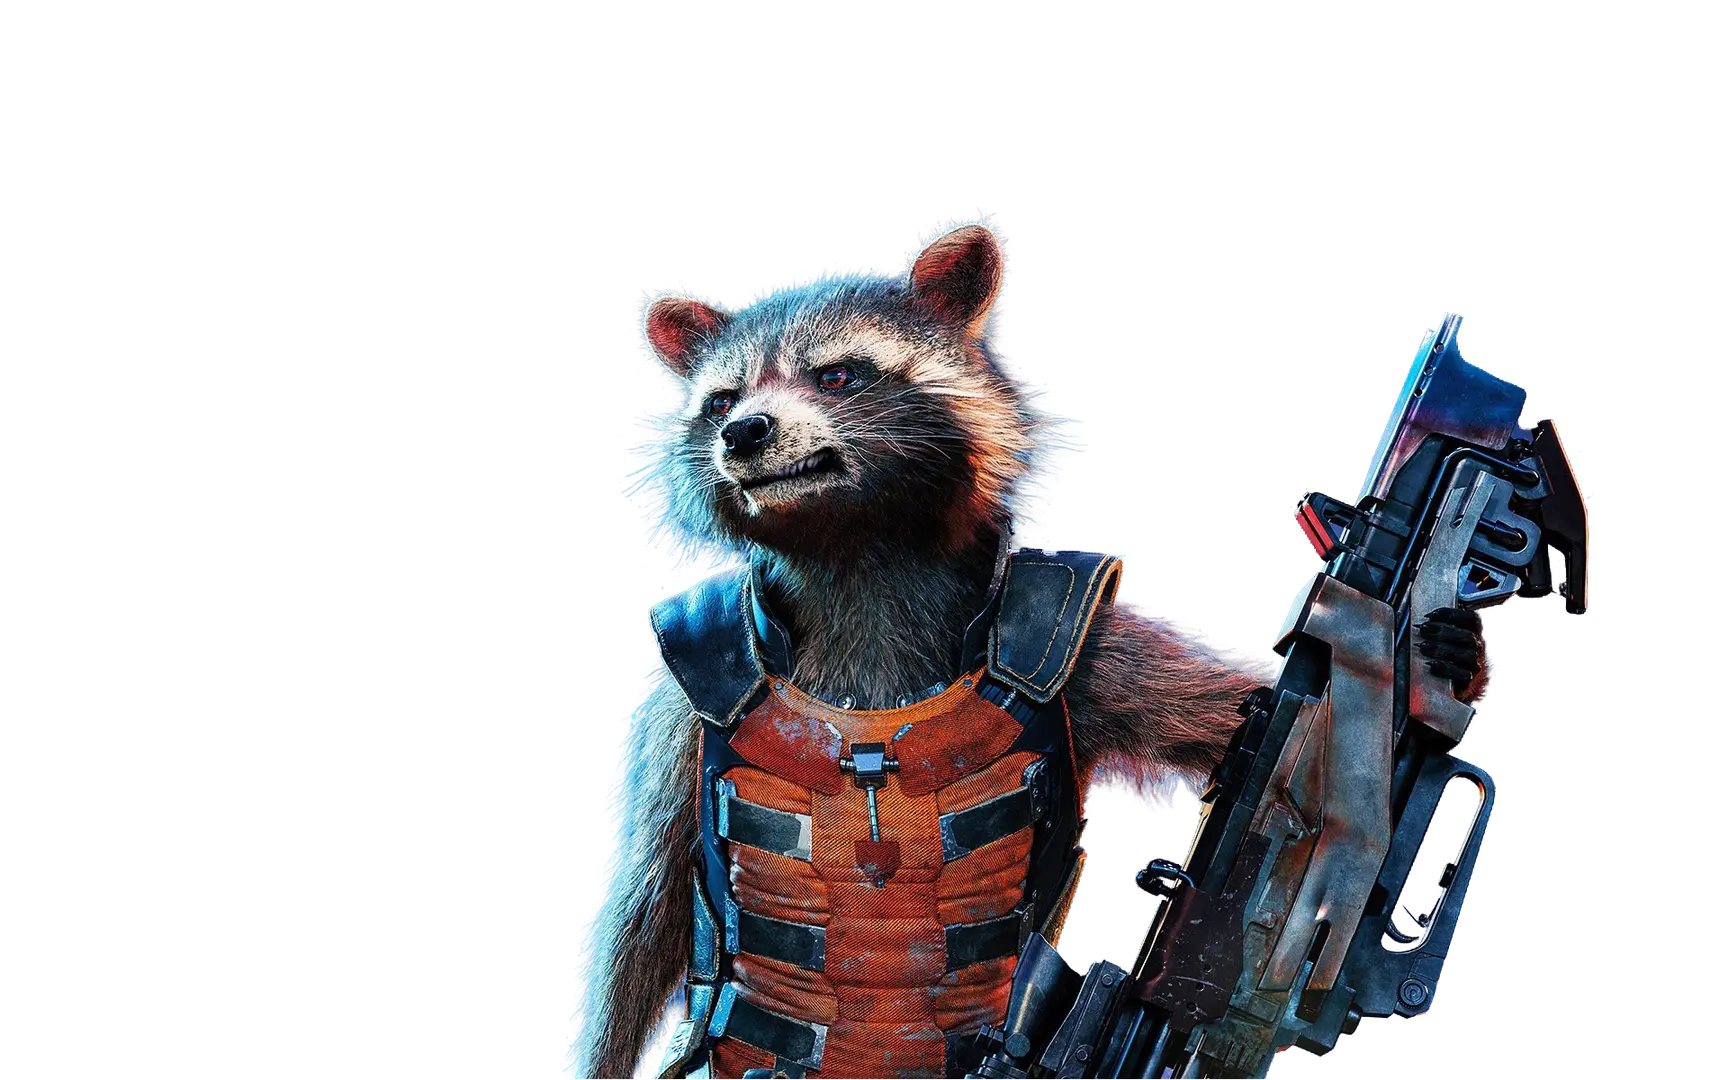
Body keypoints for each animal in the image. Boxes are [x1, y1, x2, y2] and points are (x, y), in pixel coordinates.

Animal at [571, 215, 1491, 1079]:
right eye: (721, 399)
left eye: (836, 374)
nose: (746, 432)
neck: (857, 553)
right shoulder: (680, 693)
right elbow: (641, 911)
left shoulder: (1082, 640)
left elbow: (1246, 709)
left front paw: (1445, 661)